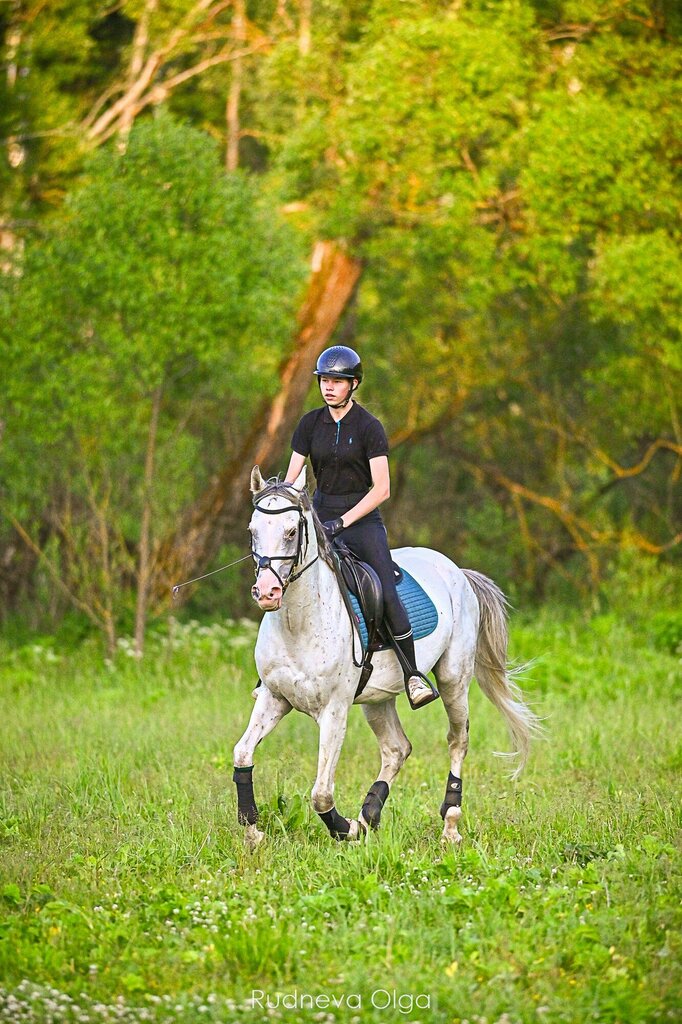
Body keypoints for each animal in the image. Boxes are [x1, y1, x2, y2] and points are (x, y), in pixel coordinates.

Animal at [233, 466, 539, 849]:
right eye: (252, 531)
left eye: (291, 531)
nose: (267, 593)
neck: (298, 623)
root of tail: (456, 571)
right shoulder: (274, 698)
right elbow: (242, 754)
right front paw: (253, 831)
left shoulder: (334, 710)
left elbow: (321, 793)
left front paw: (345, 829)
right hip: (377, 699)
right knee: (397, 748)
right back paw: (369, 815)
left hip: (453, 678)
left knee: (458, 740)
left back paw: (448, 825)